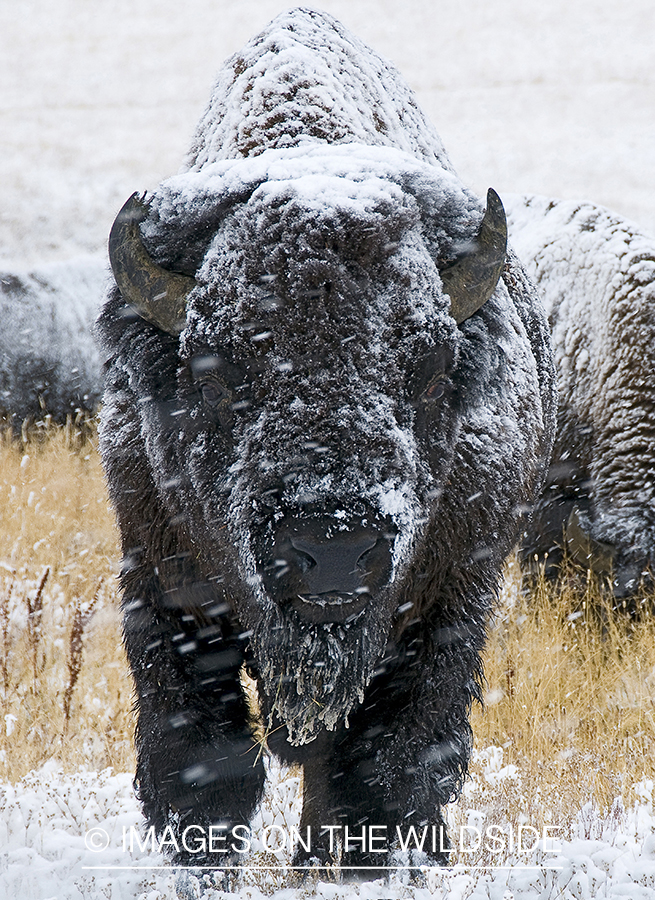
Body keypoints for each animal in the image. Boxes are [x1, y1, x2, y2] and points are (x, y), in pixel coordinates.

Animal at [97, 8, 556, 876]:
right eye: (214, 371)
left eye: (429, 368)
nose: (334, 548)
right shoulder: (163, 588)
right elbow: (201, 772)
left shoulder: (447, 602)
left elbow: (390, 772)